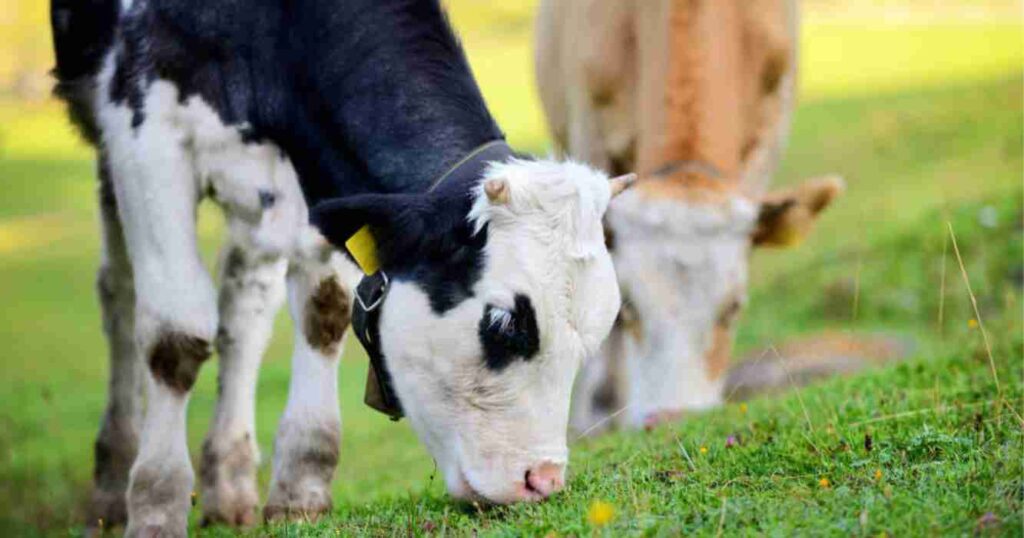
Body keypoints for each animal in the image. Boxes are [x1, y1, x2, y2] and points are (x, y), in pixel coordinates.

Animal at [54, 0, 630, 532]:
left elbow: (323, 312)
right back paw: (113, 487)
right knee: (121, 296)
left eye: (591, 341)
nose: (543, 481)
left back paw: (229, 484)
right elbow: (174, 336)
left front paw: (301, 486)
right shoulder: (145, 128)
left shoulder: (319, 179)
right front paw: (156, 506)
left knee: (243, 310)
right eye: (505, 325)